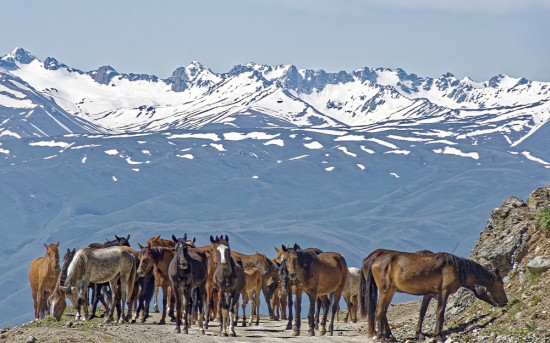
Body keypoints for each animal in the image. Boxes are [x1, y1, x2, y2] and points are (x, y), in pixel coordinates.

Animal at [360, 249, 512, 342]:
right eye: (500, 283)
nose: (505, 302)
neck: (457, 269)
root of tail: (375, 258)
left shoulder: (428, 294)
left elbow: (422, 312)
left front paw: (420, 334)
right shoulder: (443, 292)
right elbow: (440, 312)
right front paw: (438, 335)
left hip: (390, 291)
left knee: (383, 312)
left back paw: (388, 336)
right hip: (385, 291)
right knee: (379, 311)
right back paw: (382, 337)